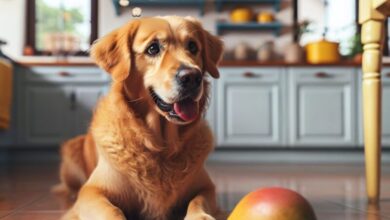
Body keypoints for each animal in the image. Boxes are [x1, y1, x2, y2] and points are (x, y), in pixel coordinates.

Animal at [55, 15, 225, 220]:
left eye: (192, 46)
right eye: (153, 48)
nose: (192, 77)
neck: (161, 147)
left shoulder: (207, 187)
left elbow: (197, 202)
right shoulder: (91, 191)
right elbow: (111, 210)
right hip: (72, 150)